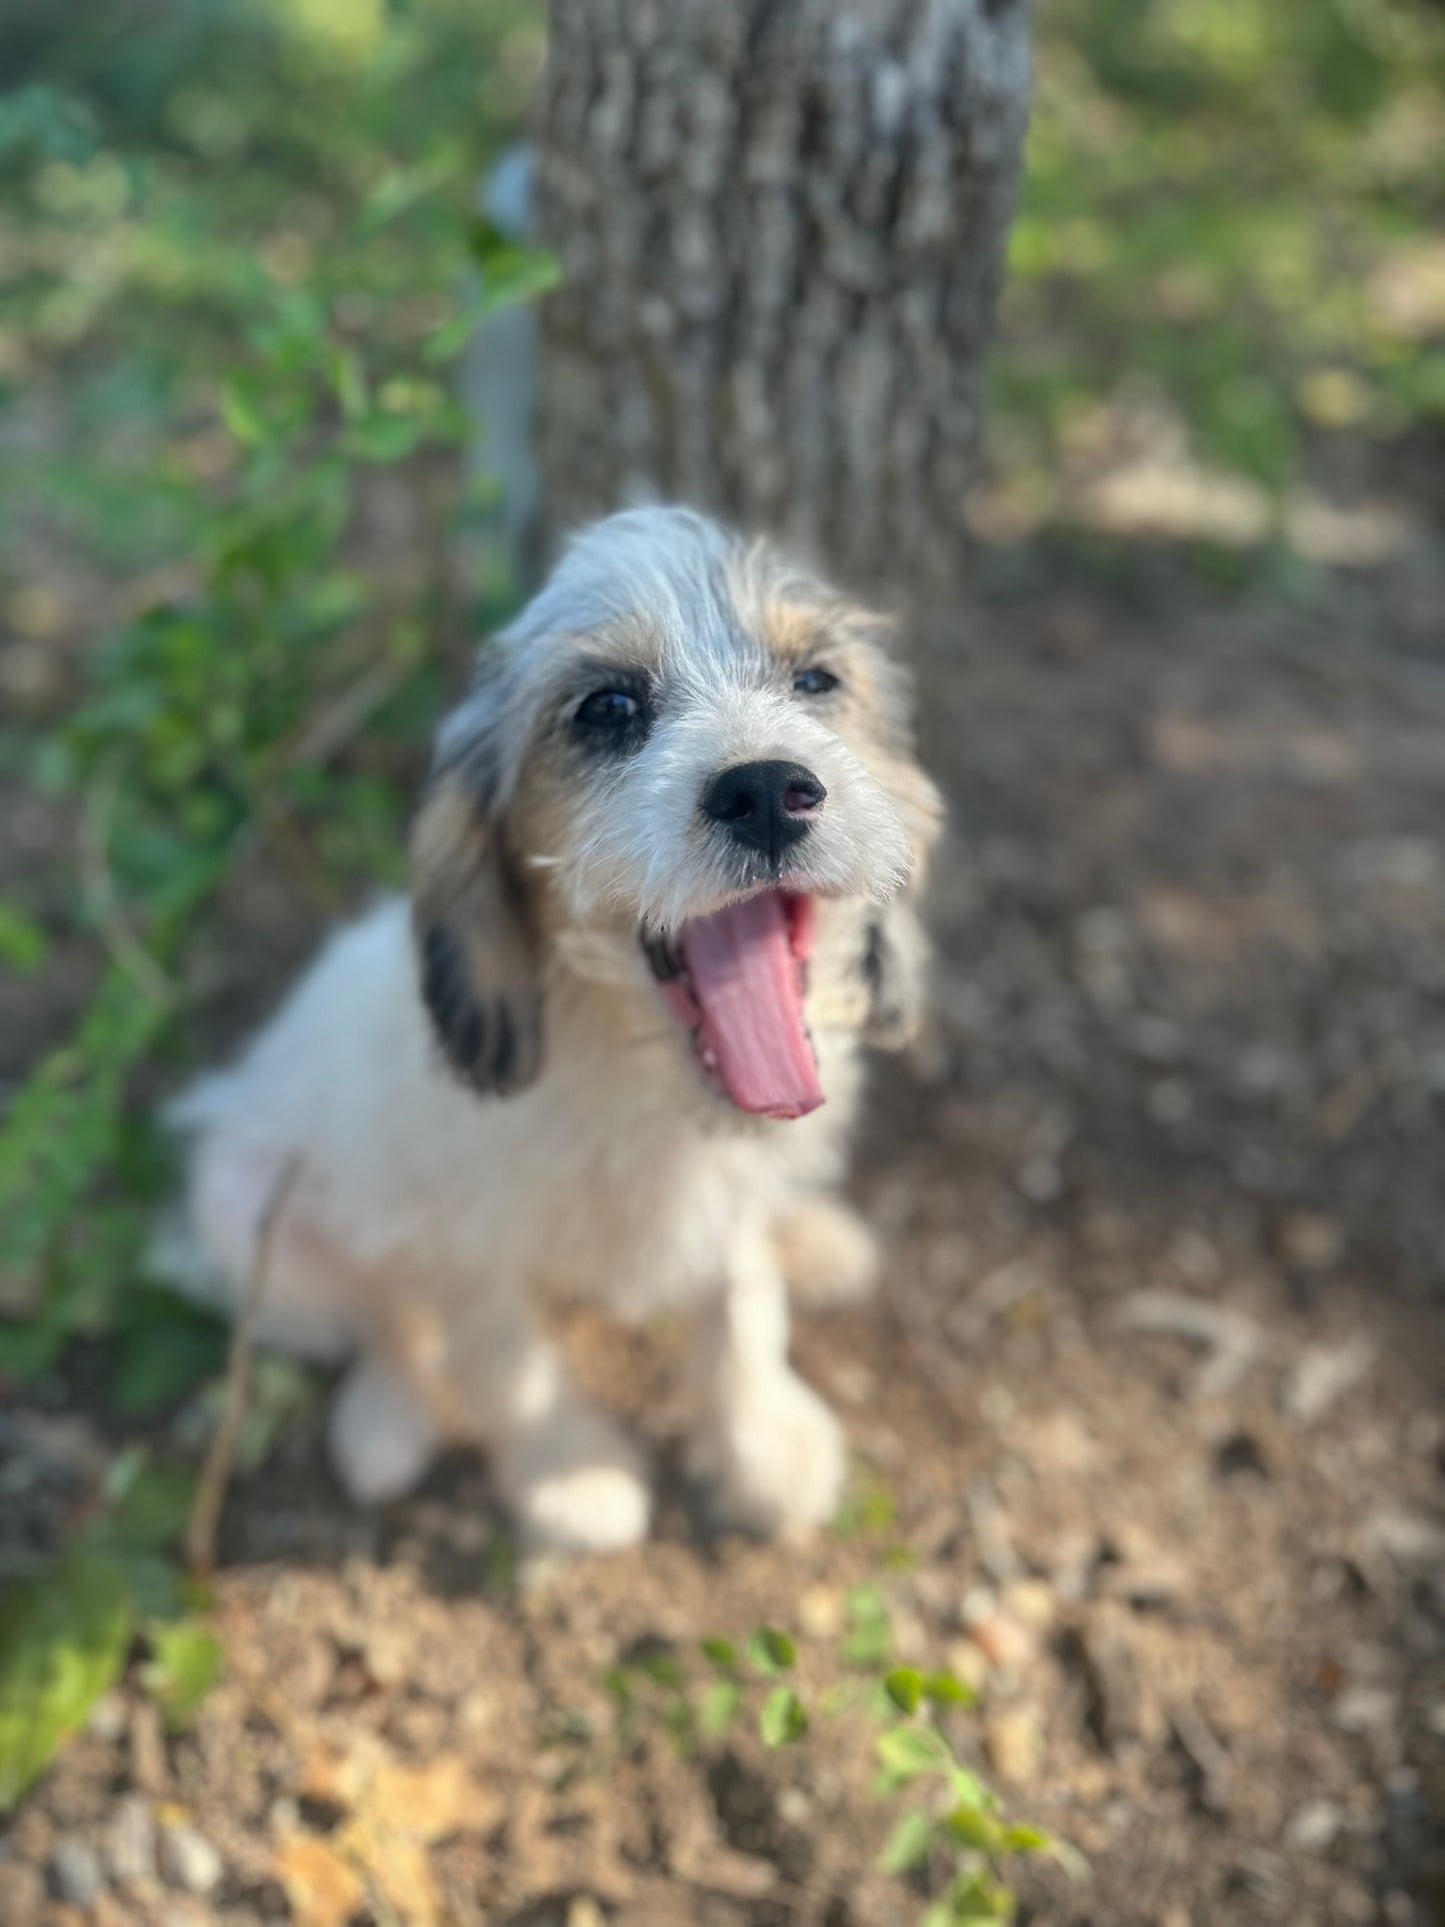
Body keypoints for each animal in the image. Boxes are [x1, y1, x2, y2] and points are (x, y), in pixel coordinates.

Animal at [163, 504, 944, 1557]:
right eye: (606, 708)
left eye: (815, 680)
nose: (767, 790)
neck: (631, 1076)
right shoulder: (467, 1247)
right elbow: (507, 1364)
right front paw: (567, 1476)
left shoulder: (727, 1199)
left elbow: (739, 1309)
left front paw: (760, 1446)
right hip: (246, 1212)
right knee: (382, 1321)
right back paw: (384, 1422)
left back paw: (816, 1238)